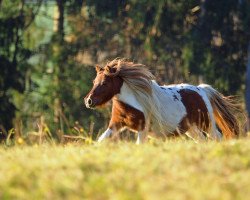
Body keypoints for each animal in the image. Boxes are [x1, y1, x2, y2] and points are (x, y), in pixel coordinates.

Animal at [83, 58, 240, 143]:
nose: (88, 101)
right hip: (192, 129)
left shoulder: (142, 128)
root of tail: (201, 90)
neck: (133, 101)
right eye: (94, 81)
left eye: (104, 83)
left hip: (206, 124)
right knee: (202, 140)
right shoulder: (116, 124)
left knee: (217, 137)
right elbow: (101, 140)